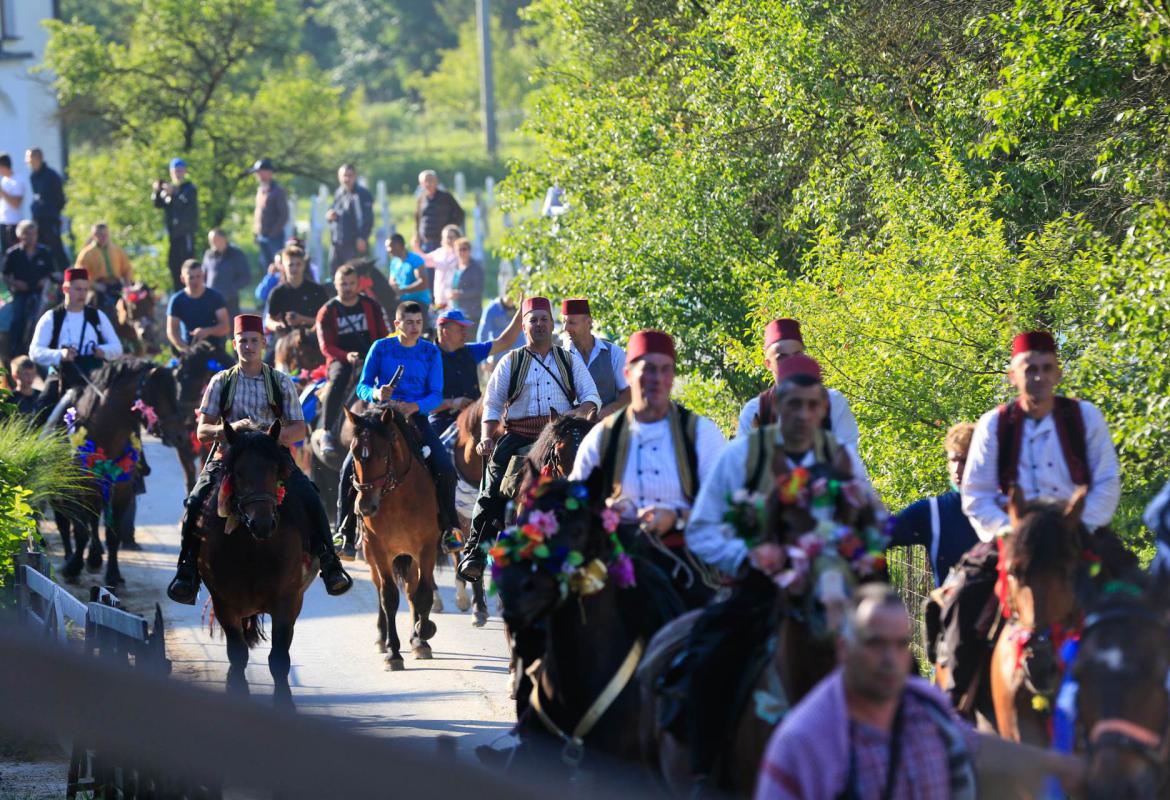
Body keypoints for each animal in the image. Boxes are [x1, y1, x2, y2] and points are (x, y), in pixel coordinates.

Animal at [57, 358, 189, 585]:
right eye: (157, 393)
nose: (180, 436)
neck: (104, 434)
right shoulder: (80, 487)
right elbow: (80, 531)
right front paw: (72, 568)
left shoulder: (122, 490)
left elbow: (113, 534)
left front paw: (113, 574)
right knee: (66, 522)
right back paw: (71, 557)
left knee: (92, 520)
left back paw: (94, 557)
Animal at [199, 420, 315, 709]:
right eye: (238, 473)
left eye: (274, 469)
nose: (262, 524)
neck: (254, 549)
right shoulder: (224, 602)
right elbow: (238, 654)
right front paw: (237, 691)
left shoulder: (288, 601)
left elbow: (279, 659)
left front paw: (285, 704)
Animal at [344, 405, 441, 670]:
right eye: (354, 452)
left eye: (382, 452)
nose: (365, 507)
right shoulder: (377, 548)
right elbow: (388, 598)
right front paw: (393, 652)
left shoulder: (427, 547)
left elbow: (422, 594)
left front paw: (423, 633)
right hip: (372, 554)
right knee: (380, 588)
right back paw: (381, 638)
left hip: (410, 555)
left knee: (411, 590)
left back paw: (418, 639)